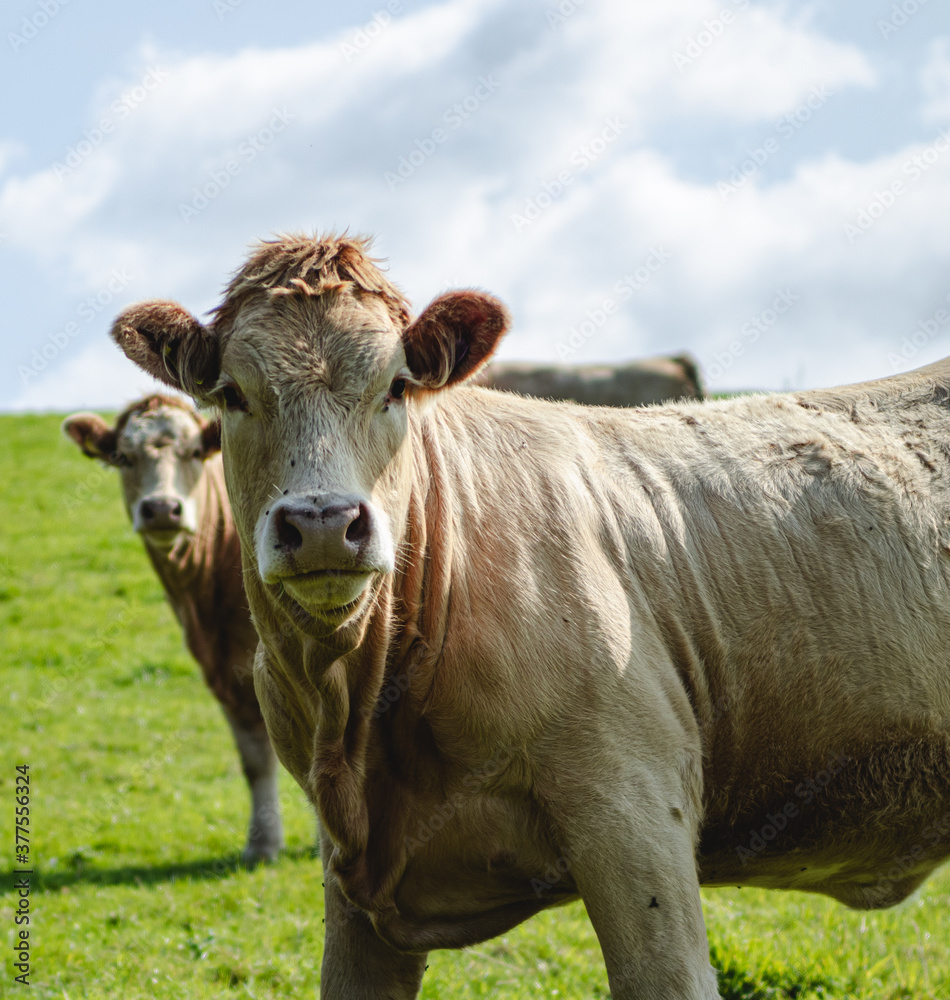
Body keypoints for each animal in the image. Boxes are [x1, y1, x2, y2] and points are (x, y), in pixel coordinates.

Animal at [63, 394, 284, 864]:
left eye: (194, 453)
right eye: (123, 457)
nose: (162, 508)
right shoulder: (226, 672)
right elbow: (256, 760)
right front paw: (262, 844)